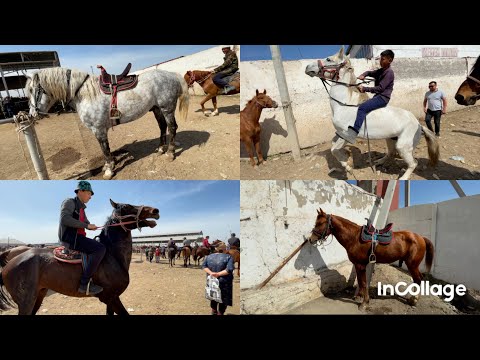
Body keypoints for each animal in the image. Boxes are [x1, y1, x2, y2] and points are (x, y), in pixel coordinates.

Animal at [0, 200, 160, 316]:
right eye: (127, 206)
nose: (155, 210)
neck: (113, 256)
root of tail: (10, 263)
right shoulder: (111, 298)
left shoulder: (110, 300)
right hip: (26, 302)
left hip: (38, 296)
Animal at [25, 67, 188, 179]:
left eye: (33, 90)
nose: (32, 114)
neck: (84, 94)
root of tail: (172, 75)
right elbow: (105, 149)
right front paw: (107, 166)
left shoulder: (98, 129)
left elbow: (104, 149)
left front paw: (109, 169)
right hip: (157, 109)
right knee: (163, 127)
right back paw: (160, 149)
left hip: (167, 109)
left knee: (172, 127)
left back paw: (170, 153)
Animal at [304, 47, 438, 180]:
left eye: (328, 59)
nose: (307, 67)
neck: (344, 105)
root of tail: (419, 125)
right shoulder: (340, 134)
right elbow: (333, 146)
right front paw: (347, 159)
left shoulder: (347, 135)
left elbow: (334, 149)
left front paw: (348, 165)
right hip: (390, 139)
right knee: (391, 153)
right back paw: (378, 162)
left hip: (403, 146)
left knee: (413, 163)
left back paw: (403, 178)